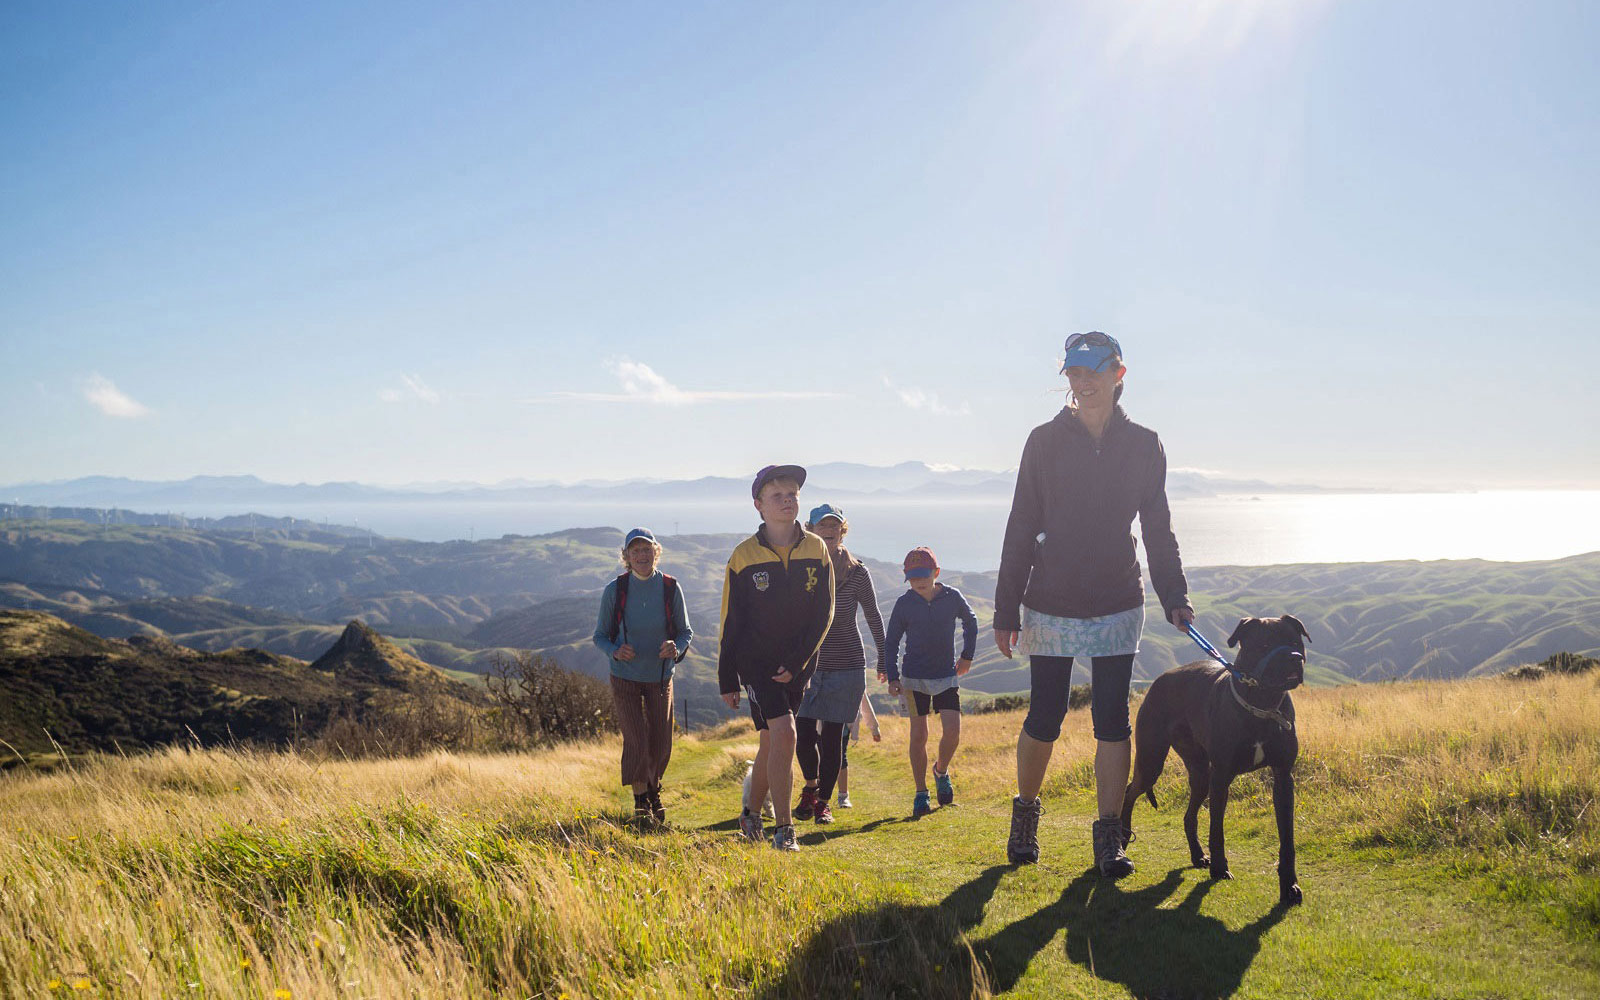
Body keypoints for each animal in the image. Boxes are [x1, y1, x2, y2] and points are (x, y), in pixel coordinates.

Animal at [1120, 611, 1305, 902]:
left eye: (1297, 642)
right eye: (1264, 644)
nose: (1294, 657)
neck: (1262, 704)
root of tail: (1160, 679)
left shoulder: (1283, 778)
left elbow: (1287, 838)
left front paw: (1289, 885)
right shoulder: (1221, 776)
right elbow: (1217, 829)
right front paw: (1220, 869)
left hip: (1200, 773)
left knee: (1189, 816)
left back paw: (1197, 855)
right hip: (1152, 760)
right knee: (1130, 790)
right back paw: (1123, 837)